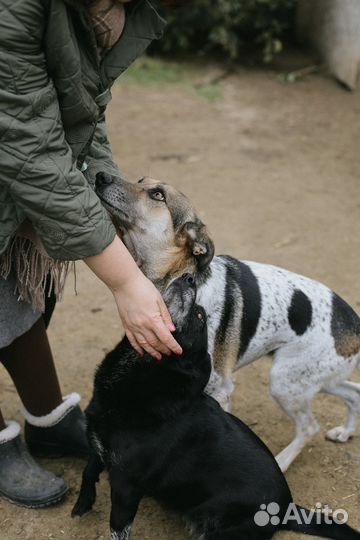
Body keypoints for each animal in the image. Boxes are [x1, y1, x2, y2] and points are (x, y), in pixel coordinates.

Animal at [72, 274, 360, 540]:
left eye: (200, 317)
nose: (189, 277)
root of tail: (286, 509)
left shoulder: (126, 487)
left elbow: (118, 526)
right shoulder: (97, 442)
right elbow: (89, 469)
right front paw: (82, 503)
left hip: (284, 382)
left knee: (309, 425)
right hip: (317, 378)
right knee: (353, 394)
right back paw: (344, 432)